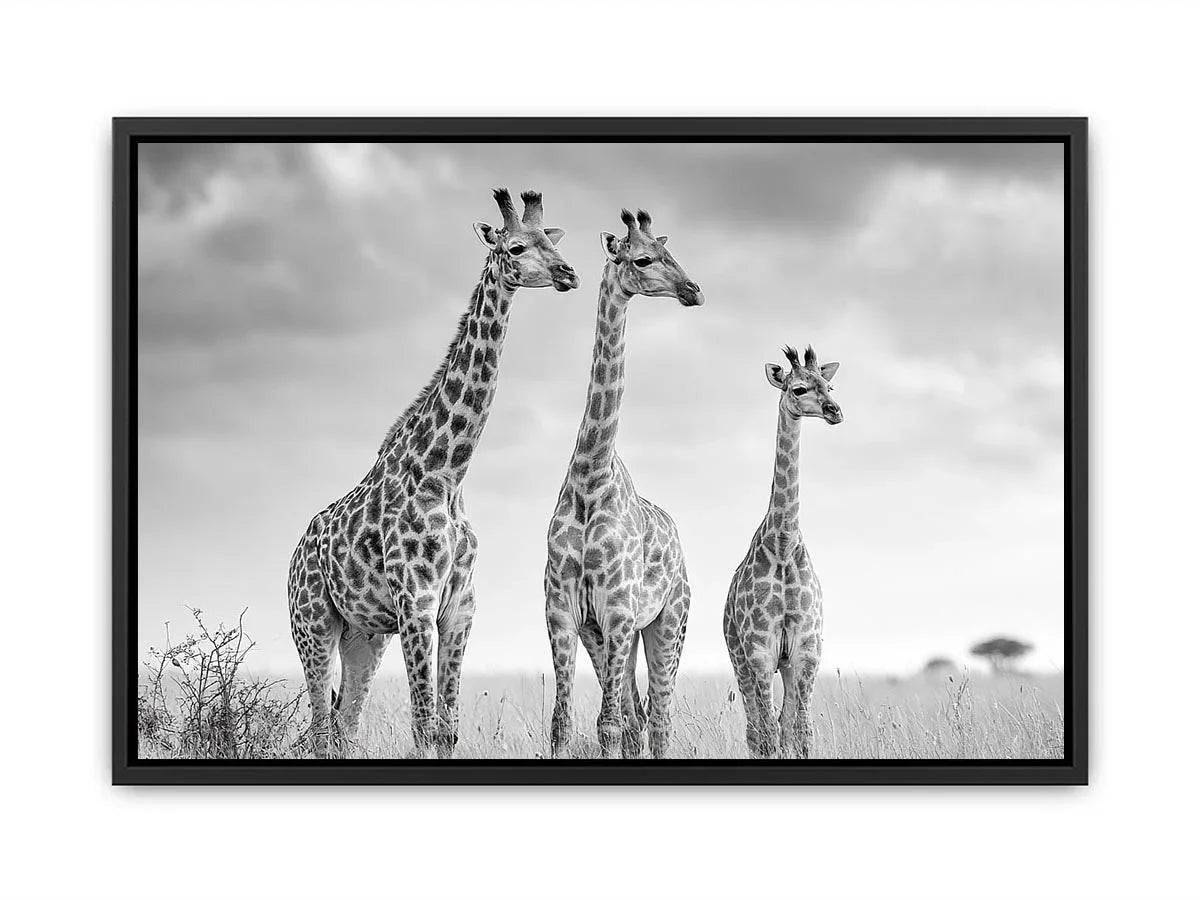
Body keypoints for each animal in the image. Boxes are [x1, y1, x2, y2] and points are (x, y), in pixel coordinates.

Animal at [288, 189, 579, 759]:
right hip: (314, 625)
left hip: (364, 636)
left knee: (345, 724)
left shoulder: (459, 607)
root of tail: (292, 556)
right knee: (318, 728)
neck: (447, 473)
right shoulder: (415, 604)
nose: (568, 272)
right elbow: (424, 725)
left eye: (549, 240)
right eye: (515, 247)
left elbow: (447, 727)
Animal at [545, 208, 704, 760]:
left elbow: (608, 724)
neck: (590, 478)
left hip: (667, 623)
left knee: (658, 718)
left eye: (668, 251)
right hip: (616, 635)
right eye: (643, 259)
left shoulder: (616, 611)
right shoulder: (566, 613)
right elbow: (564, 723)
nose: (693, 290)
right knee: (638, 718)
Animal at [723, 344, 843, 759]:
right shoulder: (760, 651)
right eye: (798, 389)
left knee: (782, 724)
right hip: (740, 659)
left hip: (785, 664)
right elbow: (769, 734)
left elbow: (801, 731)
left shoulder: (806, 650)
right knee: (756, 729)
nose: (835, 411)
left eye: (829, 384)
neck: (784, 545)